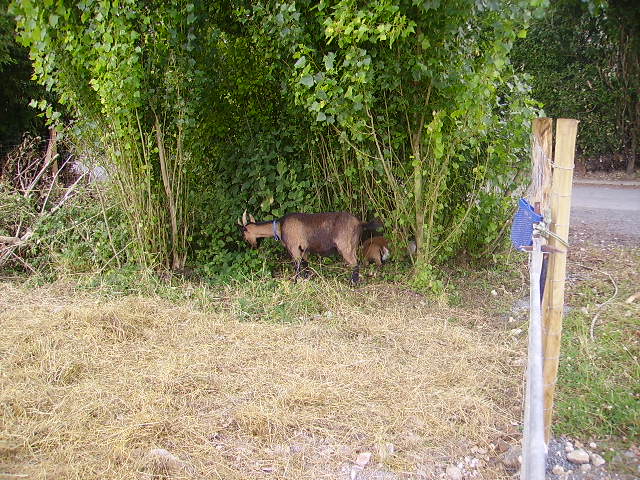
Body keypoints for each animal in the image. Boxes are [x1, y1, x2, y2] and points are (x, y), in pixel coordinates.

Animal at [239, 211, 380, 284]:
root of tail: (360, 223)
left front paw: (295, 282)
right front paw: (306, 279)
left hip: (345, 247)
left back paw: (352, 283)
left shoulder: (294, 247)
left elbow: (297, 266)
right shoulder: (304, 249)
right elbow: (305, 265)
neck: (280, 226)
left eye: (244, 232)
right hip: (353, 245)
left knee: (355, 263)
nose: (253, 245)